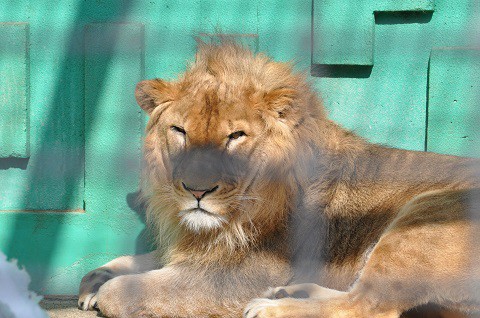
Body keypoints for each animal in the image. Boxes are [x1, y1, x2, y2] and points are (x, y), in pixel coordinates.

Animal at [78, 40, 480, 318]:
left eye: (236, 136)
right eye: (179, 131)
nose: (196, 190)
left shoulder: (242, 275)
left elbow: (134, 289)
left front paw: (108, 289)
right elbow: (143, 260)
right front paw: (98, 277)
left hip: (426, 213)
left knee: (368, 307)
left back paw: (272, 307)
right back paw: (288, 293)